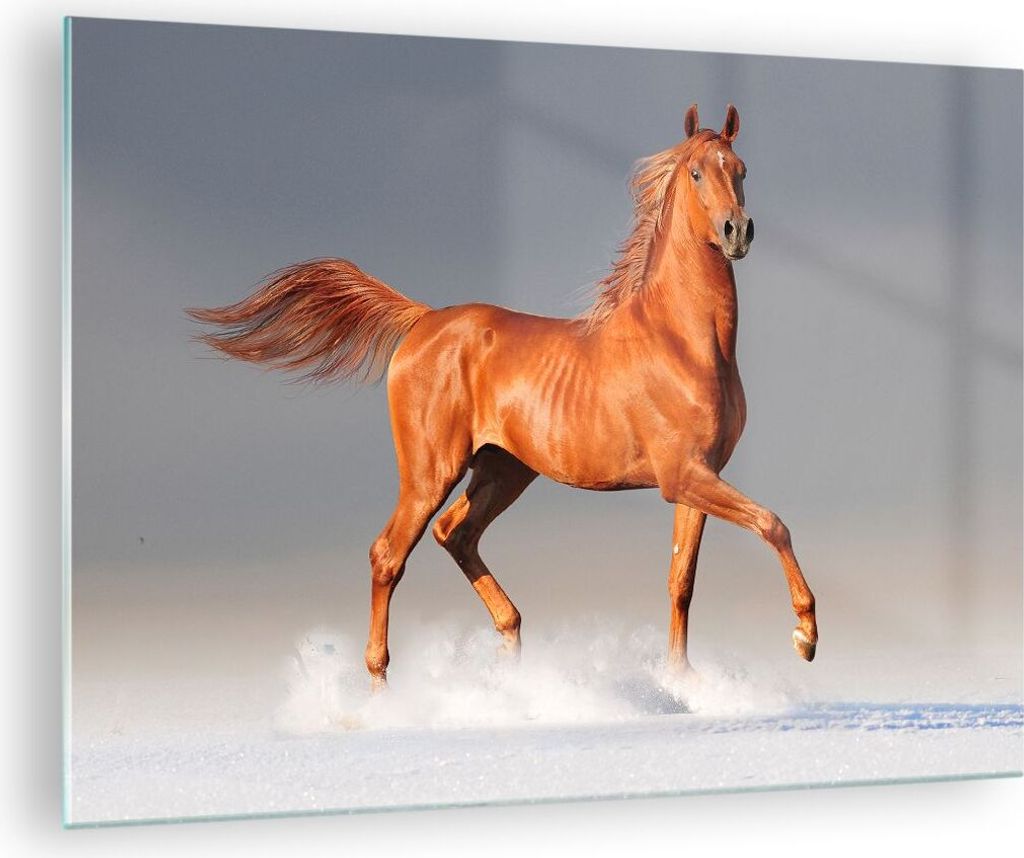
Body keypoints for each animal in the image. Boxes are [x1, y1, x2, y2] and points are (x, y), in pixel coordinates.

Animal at [188, 103, 818, 689]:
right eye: (695, 172)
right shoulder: (682, 476)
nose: (737, 231)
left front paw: (681, 679)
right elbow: (773, 524)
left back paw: (511, 653)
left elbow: (681, 580)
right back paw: (382, 686)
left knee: (455, 533)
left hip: (503, 469)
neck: (682, 341)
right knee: (389, 553)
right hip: (431, 471)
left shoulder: (699, 477)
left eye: (741, 169)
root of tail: (423, 321)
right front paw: (805, 636)